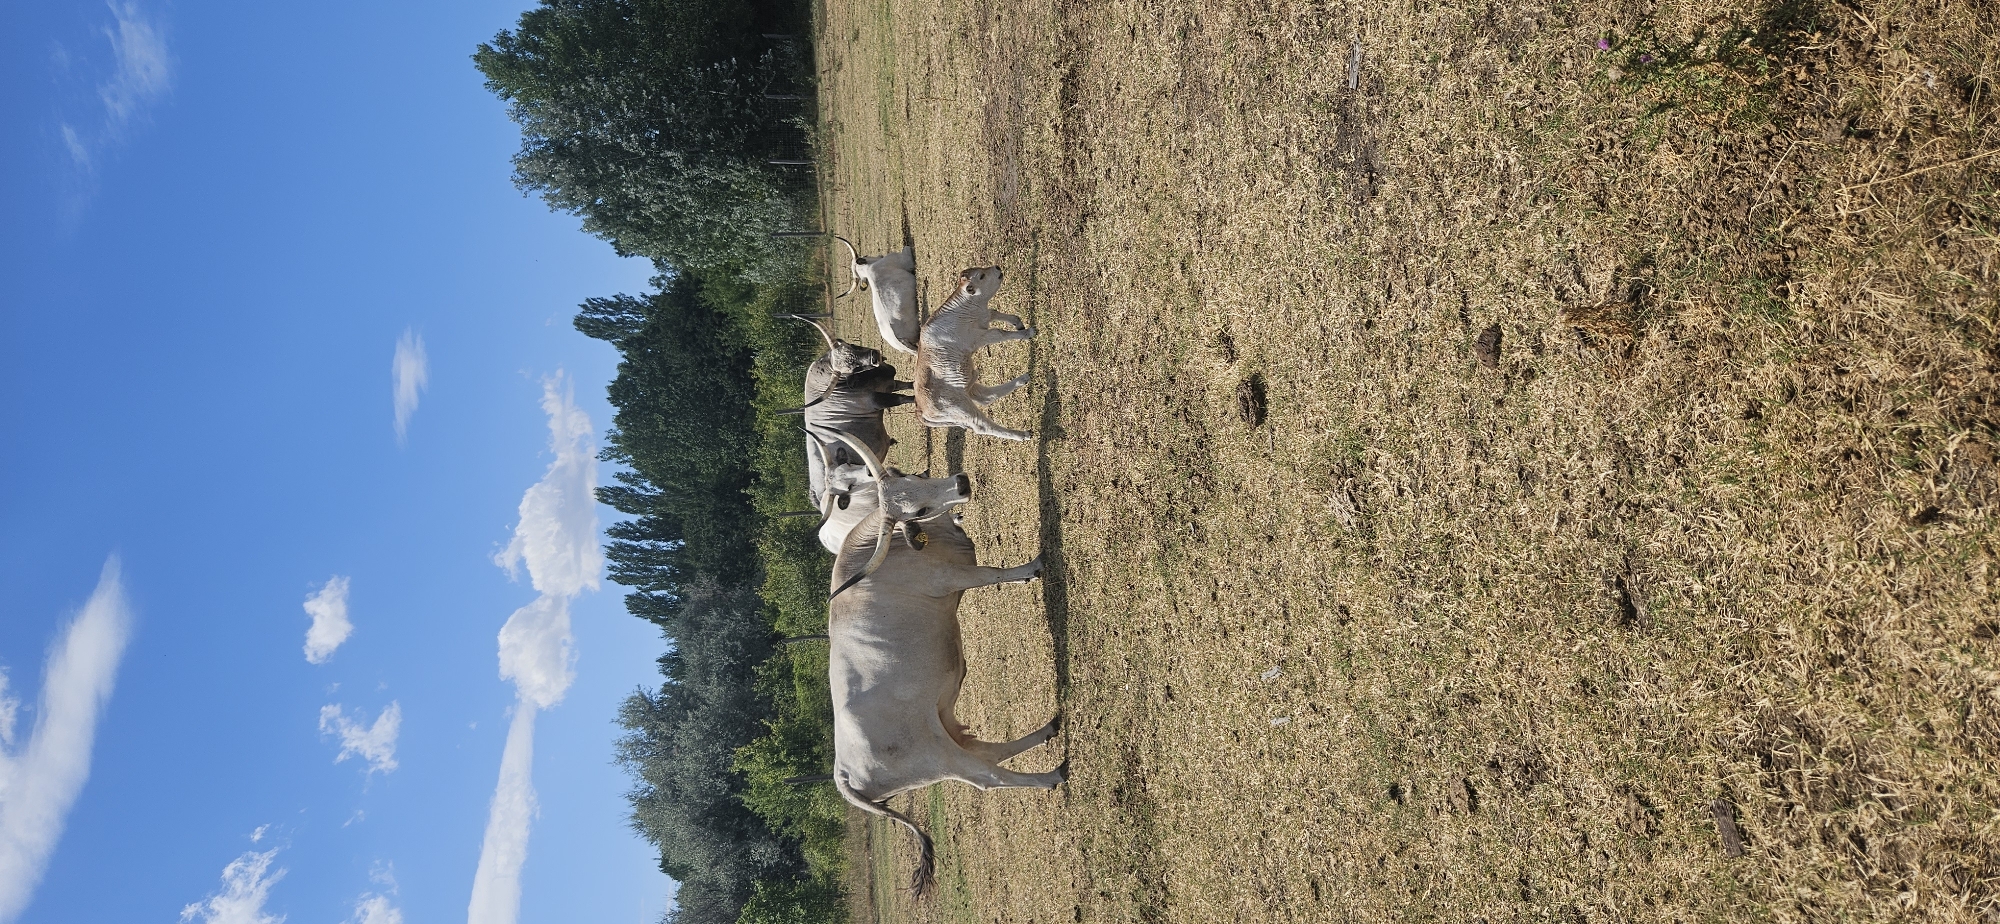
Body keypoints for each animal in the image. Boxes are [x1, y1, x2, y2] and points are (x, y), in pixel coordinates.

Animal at [819, 431, 1065, 894]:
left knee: (987, 751)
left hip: (946, 724)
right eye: (916, 511)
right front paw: (1034, 564)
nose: (962, 482)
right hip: (940, 758)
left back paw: (1050, 730)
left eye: (913, 477)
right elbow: (993, 574)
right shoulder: (952, 579)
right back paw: (1053, 775)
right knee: (986, 776)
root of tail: (843, 774)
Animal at [913, 266, 1036, 441]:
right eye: (982, 276)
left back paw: (1023, 379)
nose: (997, 267)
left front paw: (1018, 323)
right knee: (982, 425)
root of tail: (920, 409)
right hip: (960, 408)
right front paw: (1028, 333)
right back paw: (1022, 435)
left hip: (967, 388)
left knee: (987, 396)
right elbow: (999, 332)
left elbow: (994, 312)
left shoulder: (984, 318)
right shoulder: (979, 337)